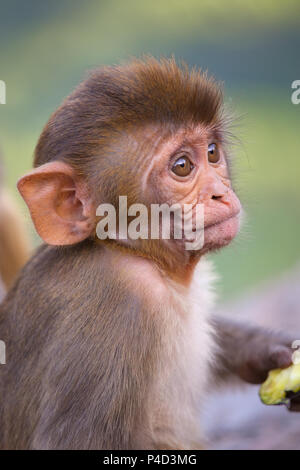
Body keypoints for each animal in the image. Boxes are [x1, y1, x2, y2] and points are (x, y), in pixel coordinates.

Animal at [0, 57, 296, 450]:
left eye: (212, 152)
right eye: (182, 166)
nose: (220, 192)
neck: (133, 253)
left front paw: (271, 352)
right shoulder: (118, 307)